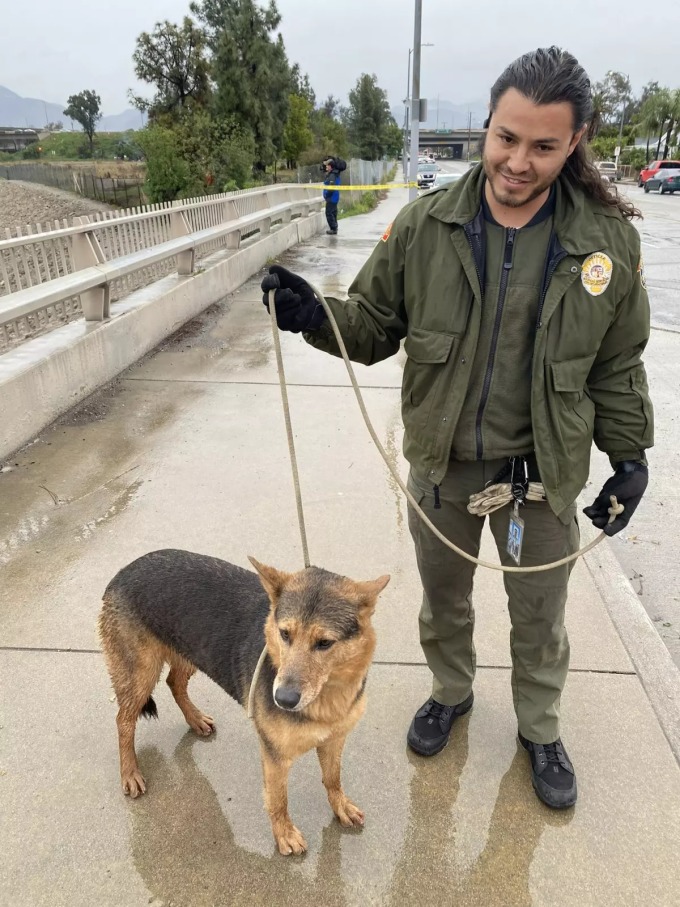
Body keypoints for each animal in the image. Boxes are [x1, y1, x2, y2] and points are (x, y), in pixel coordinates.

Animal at [98, 548, 390, 856]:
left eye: (324, 643)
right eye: (285, 634)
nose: (282, 699)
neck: (327, 697)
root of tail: (124, 570)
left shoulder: (334, 740)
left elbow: (333, 779)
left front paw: (340, 806)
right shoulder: (275, 757)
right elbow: (278, 800)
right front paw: (284, 834)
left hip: (190, 652)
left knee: (174, 683)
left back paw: (195, 719)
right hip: (140, 674)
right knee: (124, 719)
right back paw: (130, 771)